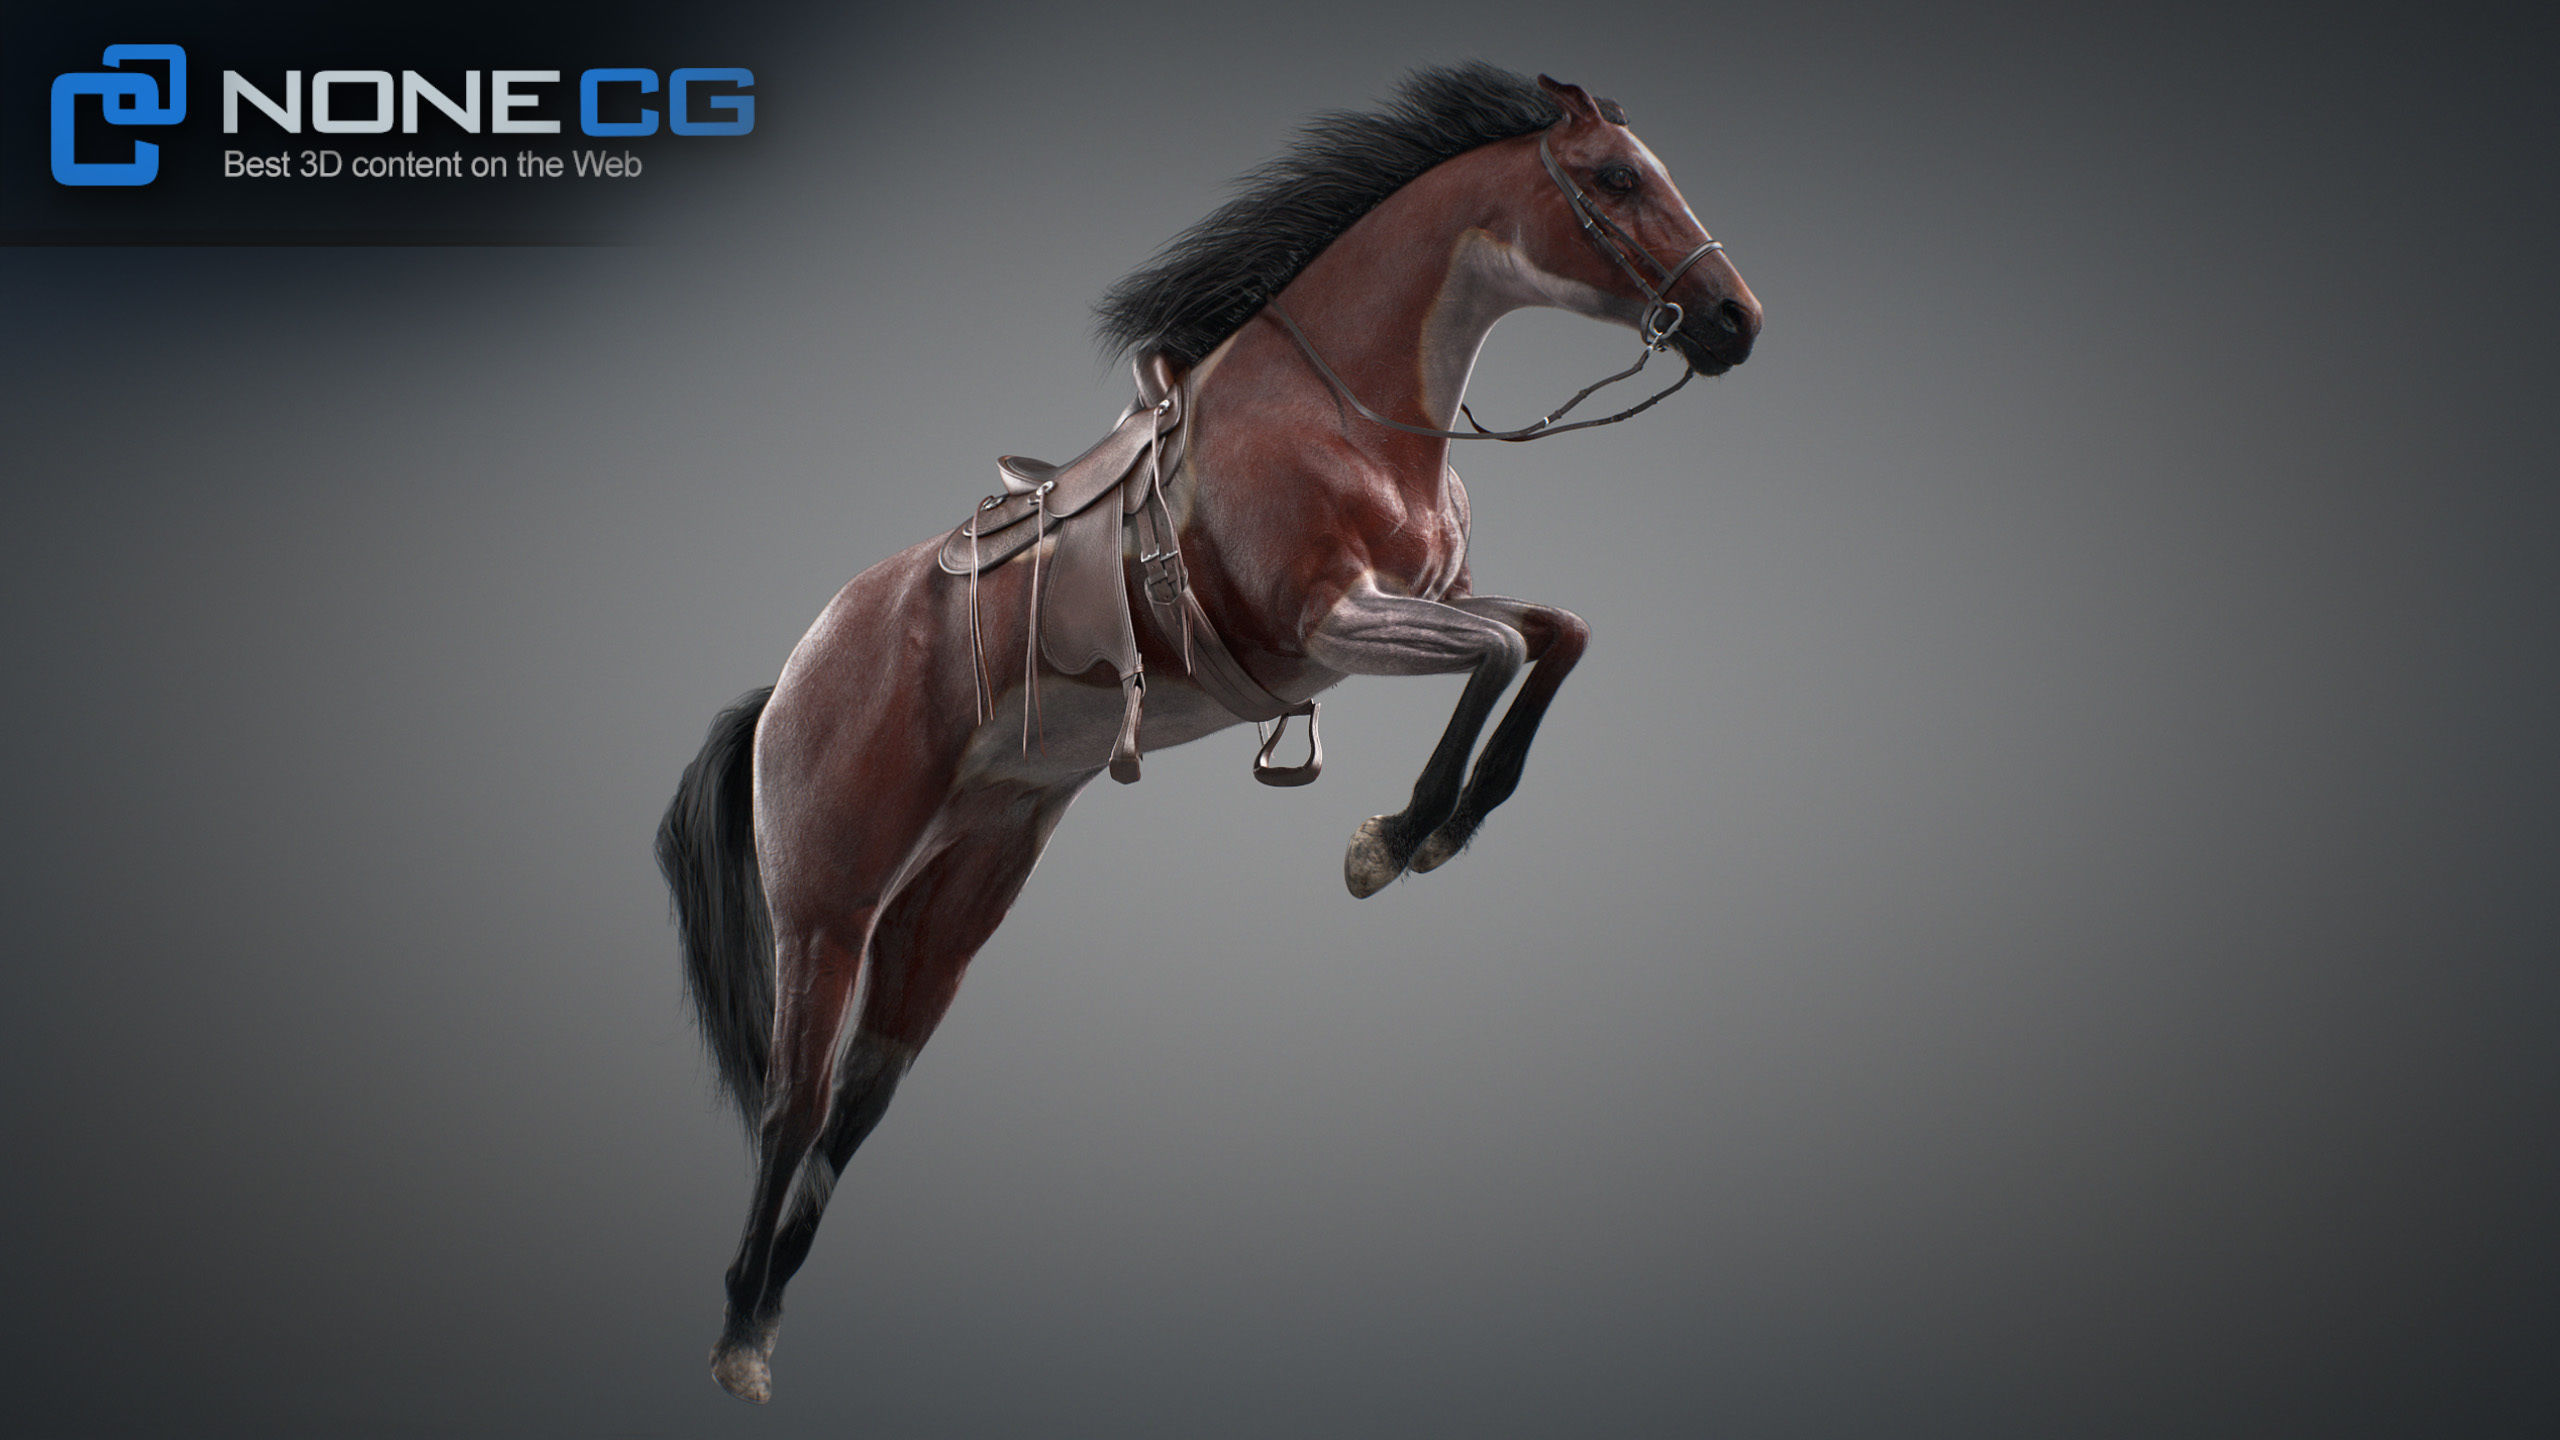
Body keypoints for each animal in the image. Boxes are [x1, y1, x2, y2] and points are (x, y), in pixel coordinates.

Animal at [657, 64, 1760, 1403]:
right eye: (1614, 177)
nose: (1734, 320)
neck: (1345, 411)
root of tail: (787, 686)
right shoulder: (1334, 625)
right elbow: (1505, 652)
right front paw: (1392, 841)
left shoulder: (1420, 608)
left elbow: (1557, 634)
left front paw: (1438, 829)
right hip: (828, 914)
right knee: (792, 1108)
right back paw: (735, 1339)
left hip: (956, 906)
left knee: (854, 1112)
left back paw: (764, 1316)